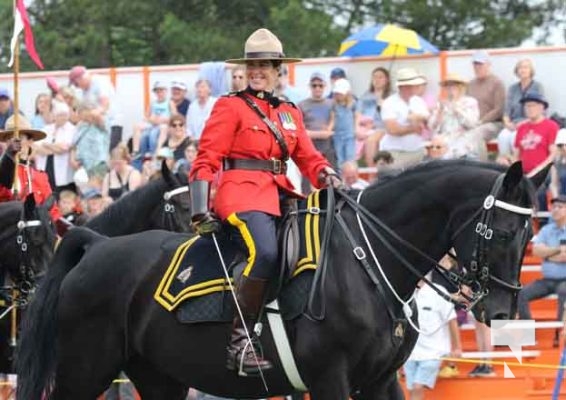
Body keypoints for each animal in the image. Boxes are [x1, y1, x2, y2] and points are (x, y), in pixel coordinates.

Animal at [17, 159, 548, 400]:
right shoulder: (329, 379)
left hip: (157, 376)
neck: (368, 263)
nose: (502, 311)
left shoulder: (381, 382)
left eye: (530, 233)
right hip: (85, 370)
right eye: (503, 232)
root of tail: (96, 244)